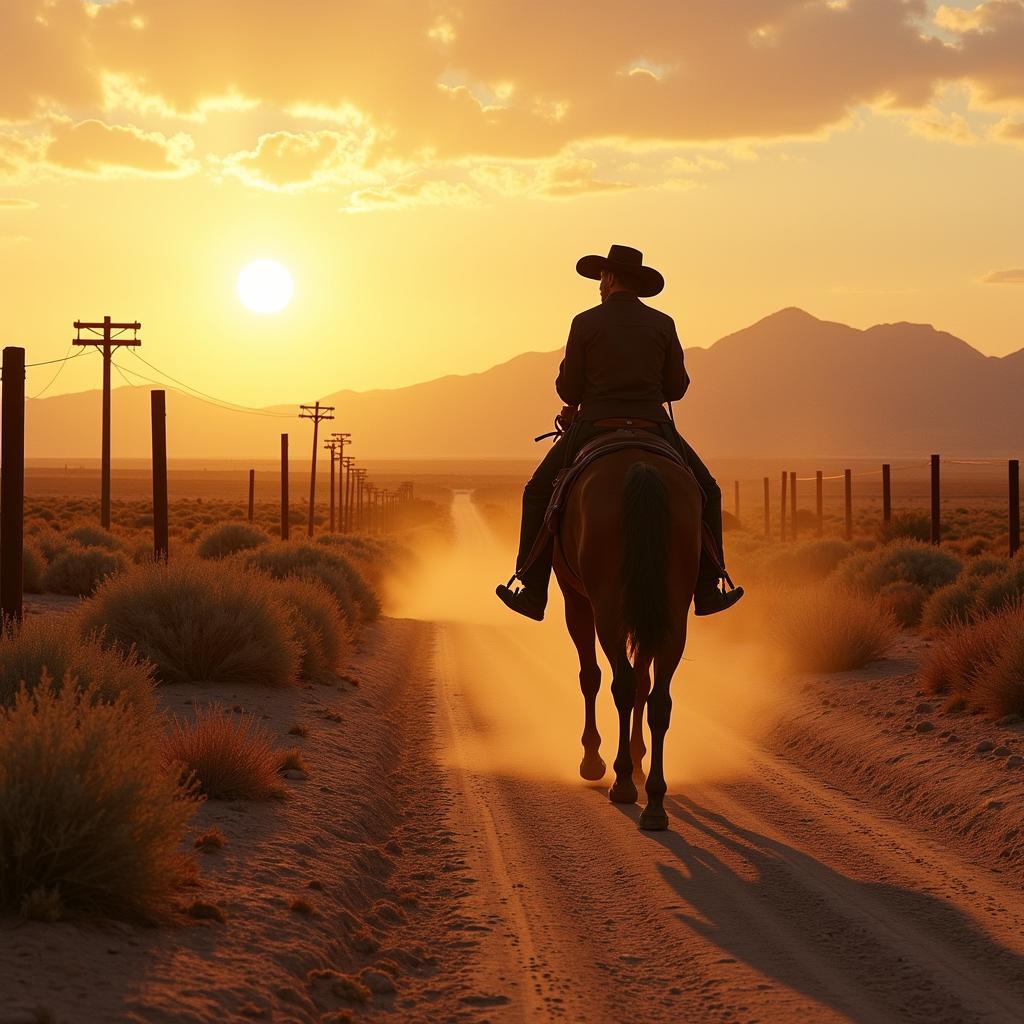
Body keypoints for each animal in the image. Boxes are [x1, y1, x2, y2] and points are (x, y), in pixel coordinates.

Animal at [552, 448, 704, 831]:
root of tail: (642, 467)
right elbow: (643, 683)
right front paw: (638, 758)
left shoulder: (576, 600)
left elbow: (590, 677)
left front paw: (593, 758)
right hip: (669, 612)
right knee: (658, 698)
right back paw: (654, 801)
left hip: (609, 608)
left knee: (620, 684)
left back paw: (620, 782)